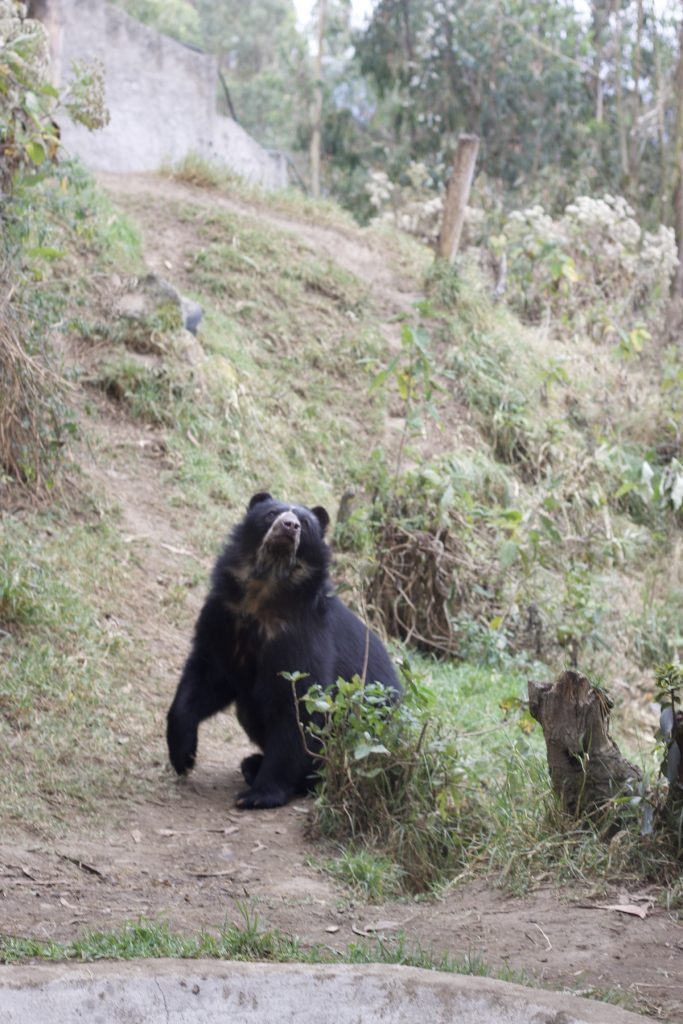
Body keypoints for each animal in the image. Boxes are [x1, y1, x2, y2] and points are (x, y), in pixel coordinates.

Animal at [166, 491, 401, 809]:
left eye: (304, 523)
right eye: (271, 514)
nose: (289, 527)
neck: (266, 590)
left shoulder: (303, 638)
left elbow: (298, 708)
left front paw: (258, 796)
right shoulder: (224, 617)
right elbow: (206, 676)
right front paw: (183, 756)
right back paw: (251, 763)